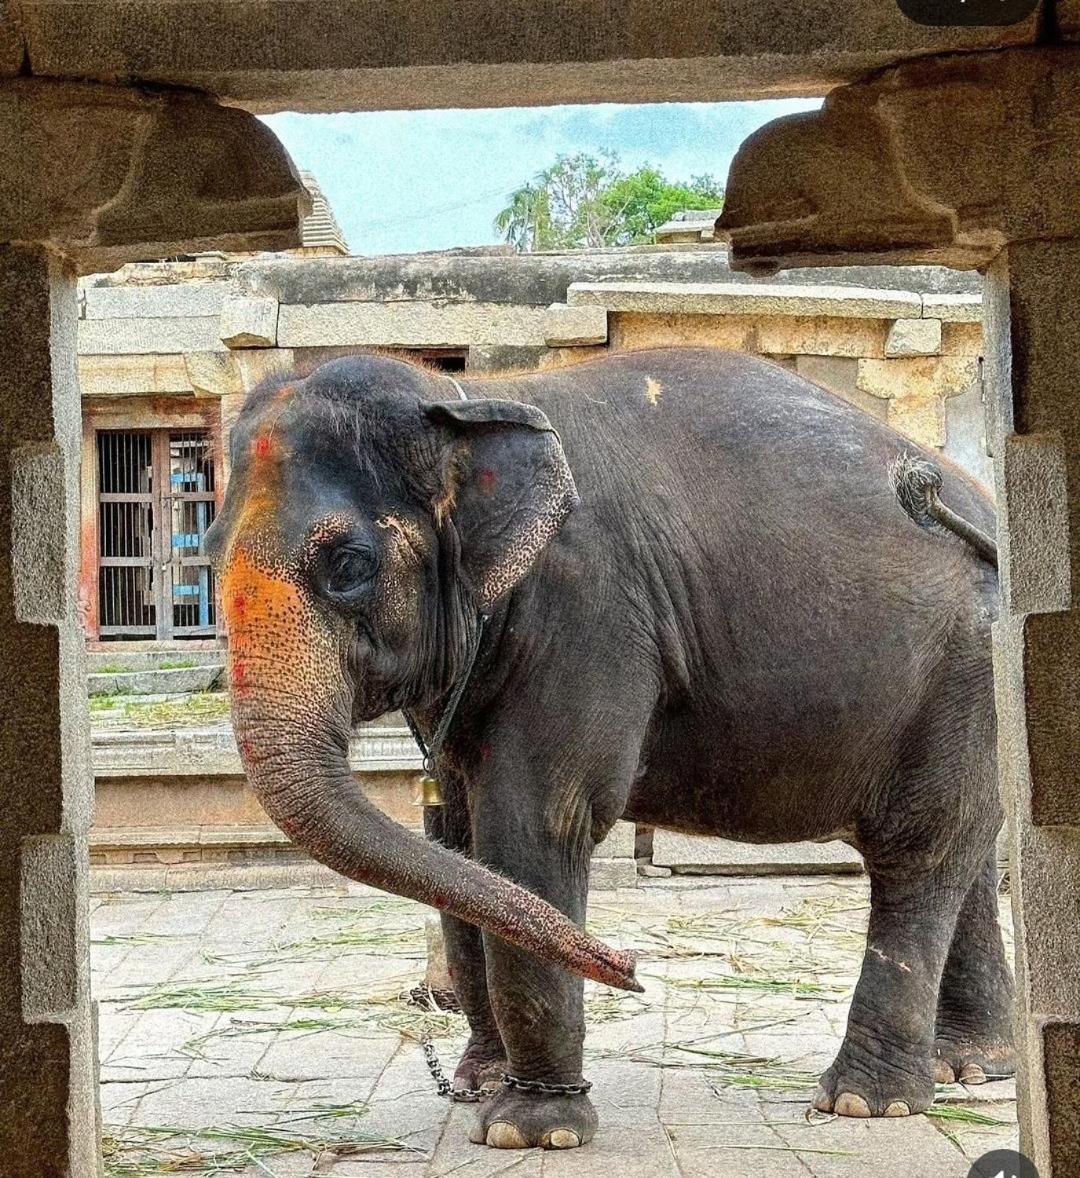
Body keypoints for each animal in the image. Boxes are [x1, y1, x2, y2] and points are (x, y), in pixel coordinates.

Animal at [202, 346, 1012, 1149]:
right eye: (207, 556)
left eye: (348, 566)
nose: (631, 966)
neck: (463, 396)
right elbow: (455, 840)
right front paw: (482, 1088)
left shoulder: (588, 613)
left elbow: (534, 827)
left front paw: (530, 1132)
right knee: (969, 847)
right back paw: (971, 1067)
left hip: (966, 666)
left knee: (922, 849)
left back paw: (865, 1103)